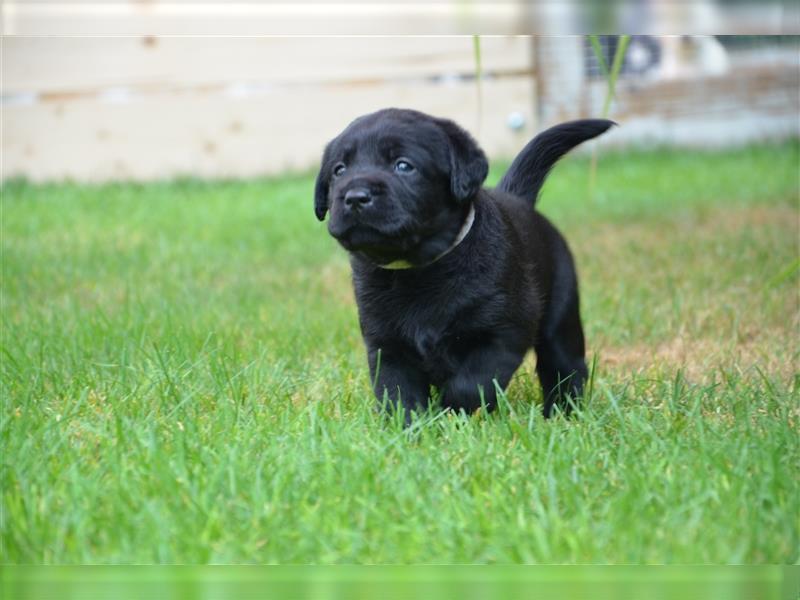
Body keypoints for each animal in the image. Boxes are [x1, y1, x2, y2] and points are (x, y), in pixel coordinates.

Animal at [312, 108, 612, 420]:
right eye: (339, 170)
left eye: (403, 165)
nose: (354, 197)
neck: (419, 269)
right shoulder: (384, 342)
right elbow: (396, 390)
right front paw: (408, 425)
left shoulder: (503, 333)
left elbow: (470, 384)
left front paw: (451, 417)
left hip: (561, 316)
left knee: (564, 367)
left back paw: (563, 414)